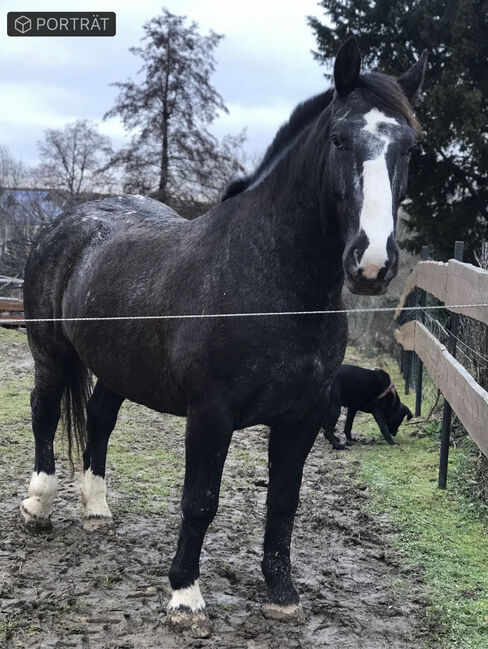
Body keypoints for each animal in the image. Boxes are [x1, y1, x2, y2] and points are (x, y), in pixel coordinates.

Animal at [20, 38, 428, 632]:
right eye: (339, 138)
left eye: (411, 148)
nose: (372, 262)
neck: (269, 279)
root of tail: (66, 223)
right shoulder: (211, 415)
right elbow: (201, 500)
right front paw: (185, 596)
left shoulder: (302, 417)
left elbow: (283, 502)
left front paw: (282, 594)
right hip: (49, 352)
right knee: (45, 413)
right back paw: (38, 505)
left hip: (118, 368)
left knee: (98, 421)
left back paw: (96, 511)